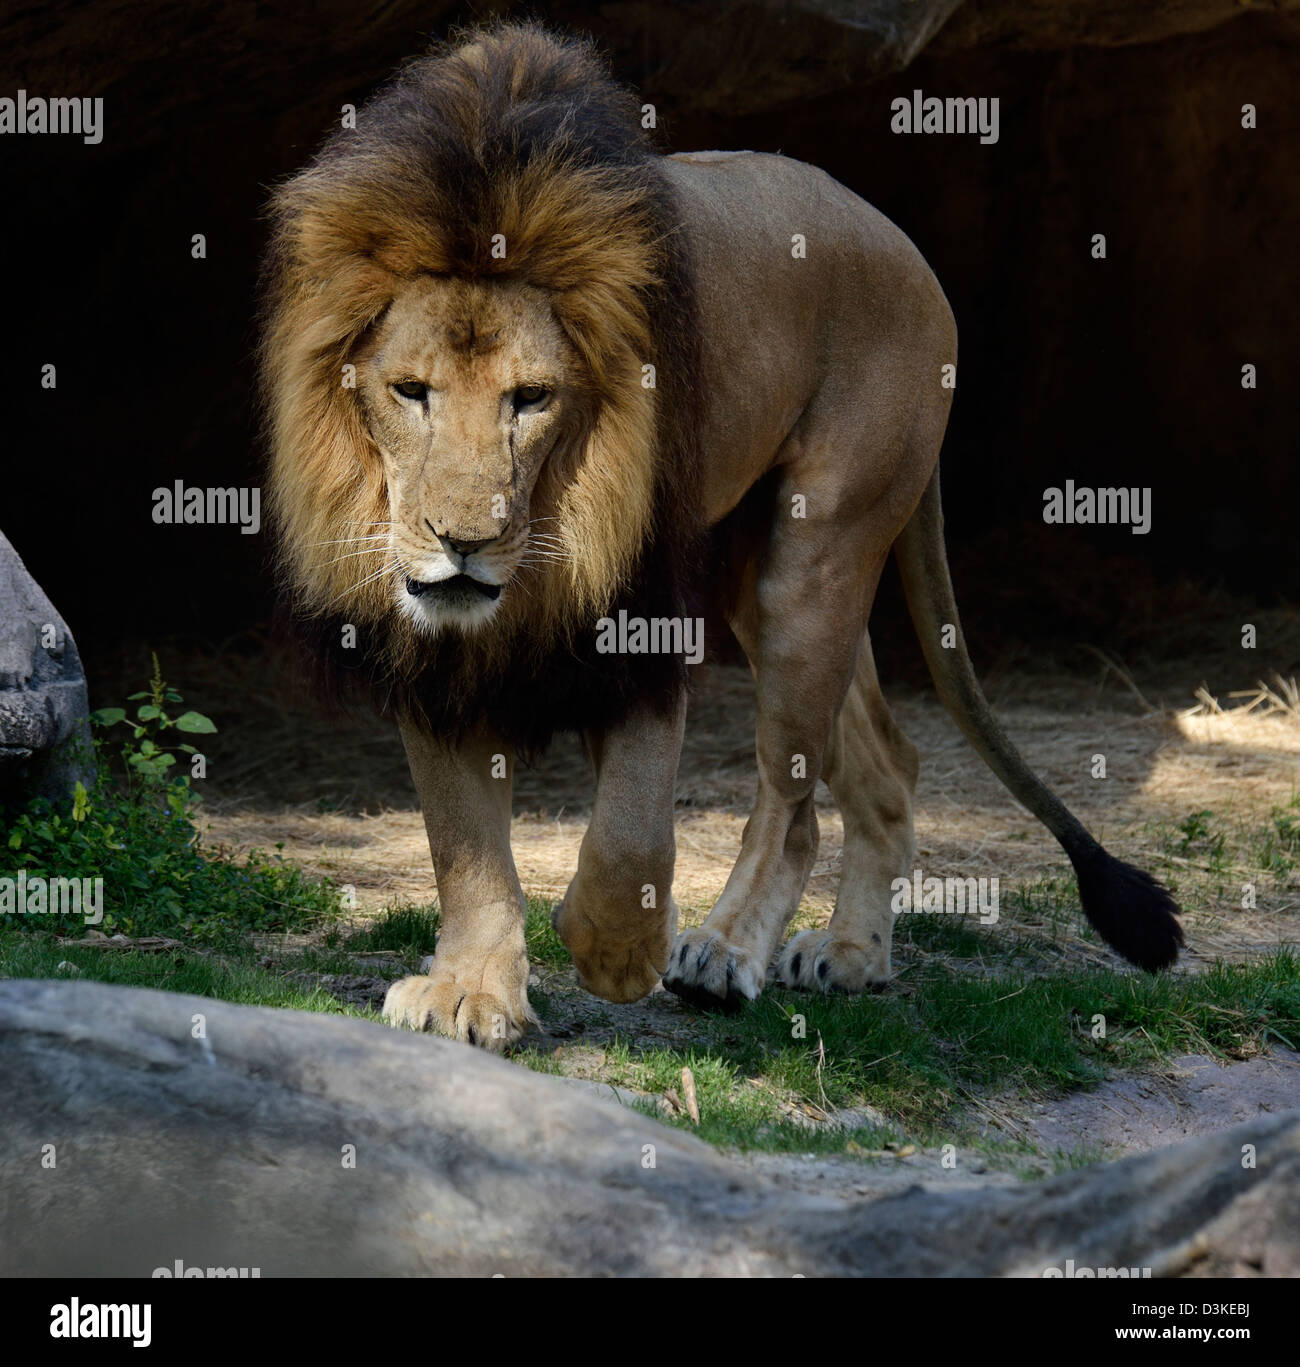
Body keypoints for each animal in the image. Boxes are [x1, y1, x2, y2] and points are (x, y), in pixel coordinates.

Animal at [261, 22, 1182, 1049]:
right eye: (409, 391)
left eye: (531, 398)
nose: (464, 539)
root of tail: (905, 244)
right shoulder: (428, 652)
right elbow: (463, 843)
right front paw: (471, 989)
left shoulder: (642, 614)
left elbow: (629, 836)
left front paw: (620, 951)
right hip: (767, 577)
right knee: (888, 761)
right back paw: (852, 953)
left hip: (815, 560)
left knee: (794, 802)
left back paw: (724, 951)